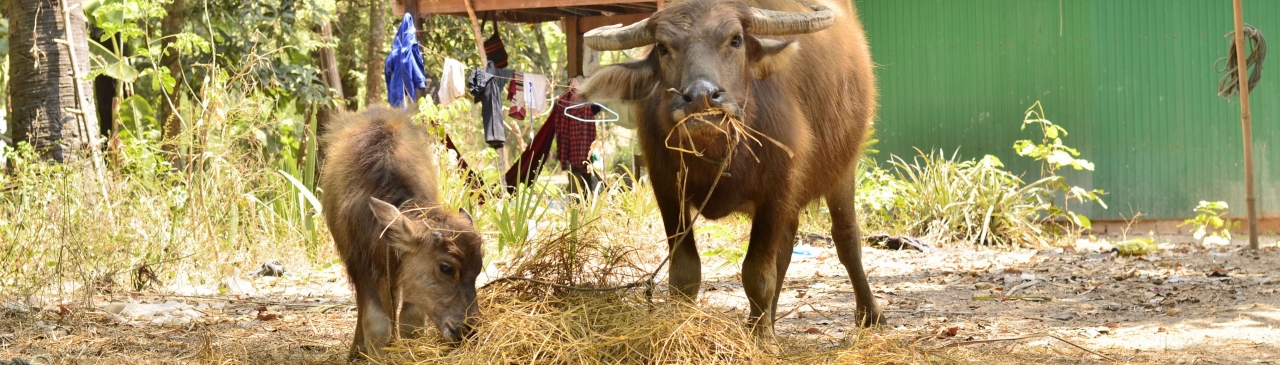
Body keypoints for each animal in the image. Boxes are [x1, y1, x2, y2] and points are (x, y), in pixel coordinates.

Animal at [586, 0, 885, 332]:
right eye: (663, 47)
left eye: (735, 40)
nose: (701, 97)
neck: (716, 149)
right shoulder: (667, 190)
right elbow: (685, 272)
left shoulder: (776, 190)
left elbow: (758, 273)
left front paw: (761, 338)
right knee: (785, 247)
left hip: (843, 169)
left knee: (846, 238)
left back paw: (869, 315)